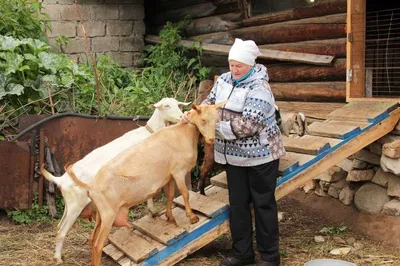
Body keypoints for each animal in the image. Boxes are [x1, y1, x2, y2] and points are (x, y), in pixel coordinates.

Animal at [39, 97, 188, 264]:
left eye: (178, 105)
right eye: (166, 106)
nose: (181, 116)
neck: (149, 133)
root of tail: (61, 180)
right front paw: (153, 210)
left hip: (69, 204)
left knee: (59, 226)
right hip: (76, 206)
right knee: (62, 230)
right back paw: (58, 258)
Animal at [68, 102, 225, 266]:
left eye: (216, 120)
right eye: (203, 120)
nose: (211, 139)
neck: (182, 133)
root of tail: (91, 187)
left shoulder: (170, 175)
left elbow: (170, 195)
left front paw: (170, 217)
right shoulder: (178, 172)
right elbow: (185, 193)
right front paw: (192, 217)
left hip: (101, 214)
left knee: (92, 239)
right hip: (108, 214)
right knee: (98, 244)